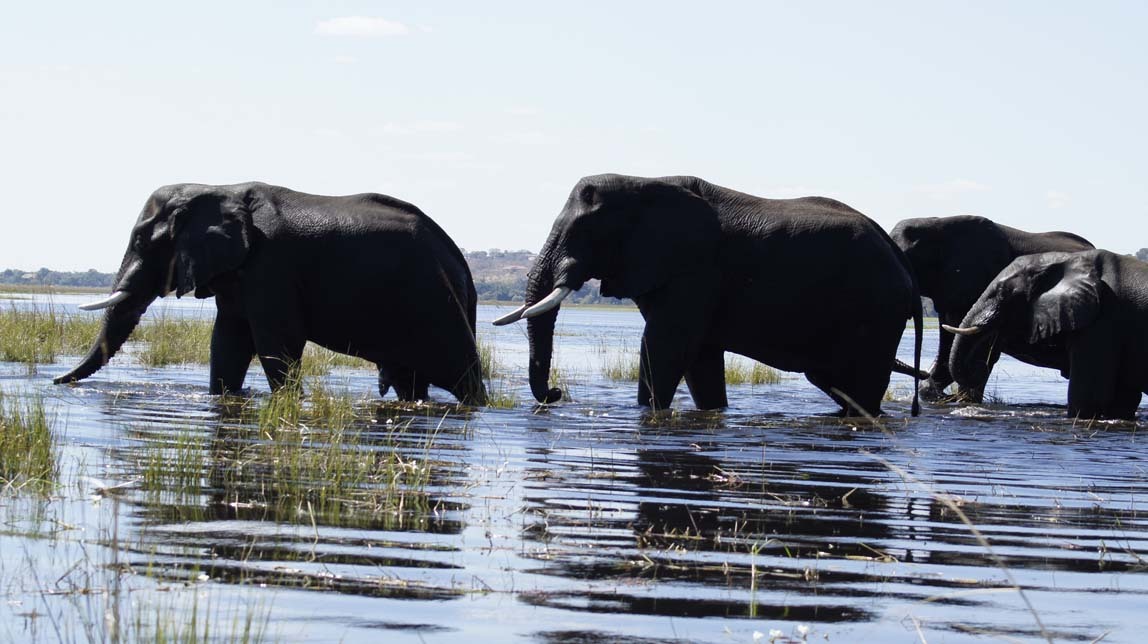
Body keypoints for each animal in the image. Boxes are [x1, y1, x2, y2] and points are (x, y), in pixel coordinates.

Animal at [54, 181, 484, 404]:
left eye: (143, 241)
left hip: (434, 305)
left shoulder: (271, 269)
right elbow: (228, 341)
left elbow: (276, 343)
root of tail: (457, 258)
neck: (218, 187)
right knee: (411, 382)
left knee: (463, 376)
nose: (58, 382)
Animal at [493, 174, 922, 417]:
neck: (644, 183)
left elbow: (665, 347)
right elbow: (699, 358)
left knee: (859, 388)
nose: (555, 394)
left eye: (585, 230)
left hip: (875, 311)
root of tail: (906, 271)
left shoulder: (693, 269)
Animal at [945, 249, 1148, 420]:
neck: (1067, 259)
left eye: (1001, 293)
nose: (978, 366)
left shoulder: (1103, 321)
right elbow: (1122, 400)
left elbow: (1088, 396)